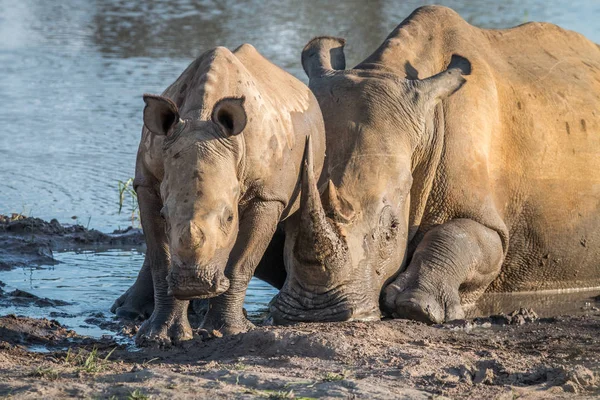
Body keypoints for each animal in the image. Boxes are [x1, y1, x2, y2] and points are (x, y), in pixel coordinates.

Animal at [109, 44, 322, 344]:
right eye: (165, 216)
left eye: (230, 217)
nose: (192, 282)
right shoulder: (146, 183)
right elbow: (160, 257)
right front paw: (158, 337)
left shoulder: (268, 195)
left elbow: (242, 262)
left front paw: (229, 331)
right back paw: (128, 312)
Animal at [272, 5, 600, 324]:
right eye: (284, 223)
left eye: (392, 229)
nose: (315, 312)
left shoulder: (491, 222)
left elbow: (463, 236)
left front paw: (416, 307)